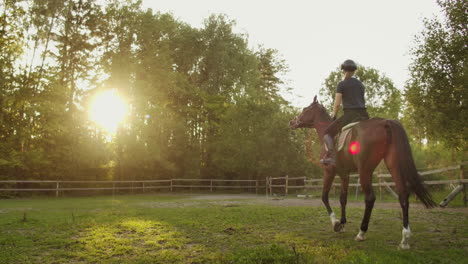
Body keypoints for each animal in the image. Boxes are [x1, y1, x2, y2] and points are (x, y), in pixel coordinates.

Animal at [288, 95, 436, 250]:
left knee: (370, 198)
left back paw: (361, 233)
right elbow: (343, 199)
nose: (291, 122)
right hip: (393, 166)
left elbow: (324, 197)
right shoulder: (344, 174)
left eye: (305, 109)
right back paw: (405, 239)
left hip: (365, 170)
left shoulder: (329, 172)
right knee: (403, 196)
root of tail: (385, 122)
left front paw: (336, 223)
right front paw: (343, 224)